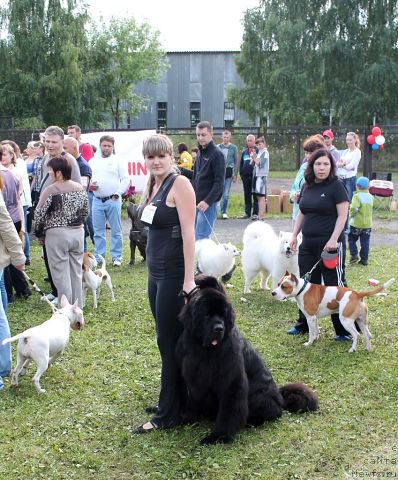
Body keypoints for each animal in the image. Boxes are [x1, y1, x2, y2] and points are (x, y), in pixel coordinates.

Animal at [176, 276, 318, 444]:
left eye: (223, 315)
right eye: (207, 315)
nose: (219, 328)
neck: (207, 351)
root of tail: (281, 398)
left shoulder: (232, 382)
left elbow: (229, 411)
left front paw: (218, 437)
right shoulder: (195, 377)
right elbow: (194, 398)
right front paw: (188, 418)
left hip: (258, 397)